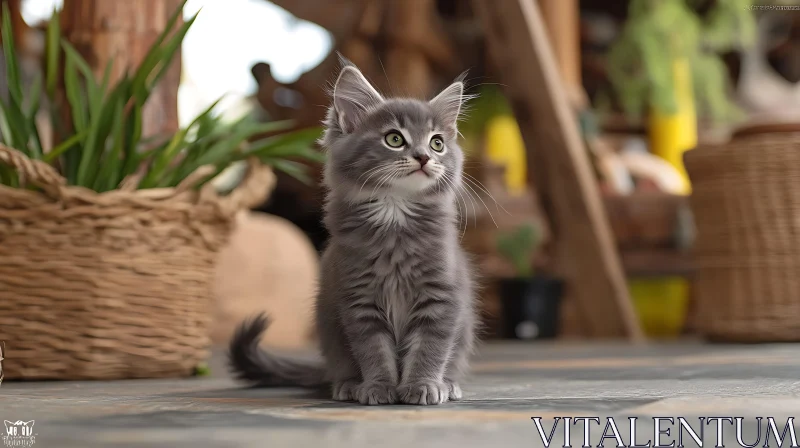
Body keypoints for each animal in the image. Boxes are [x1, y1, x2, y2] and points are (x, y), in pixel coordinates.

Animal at [227, 59, 476, 406]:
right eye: (394, 139)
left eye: (437, 143)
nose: (425, 157)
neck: (395, 213)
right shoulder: (358, 299)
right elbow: (373, 351)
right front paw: (379, 387)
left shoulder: (441, 295)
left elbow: (431, 348)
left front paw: (423, 385)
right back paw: (347, 385)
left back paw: (448, 383)